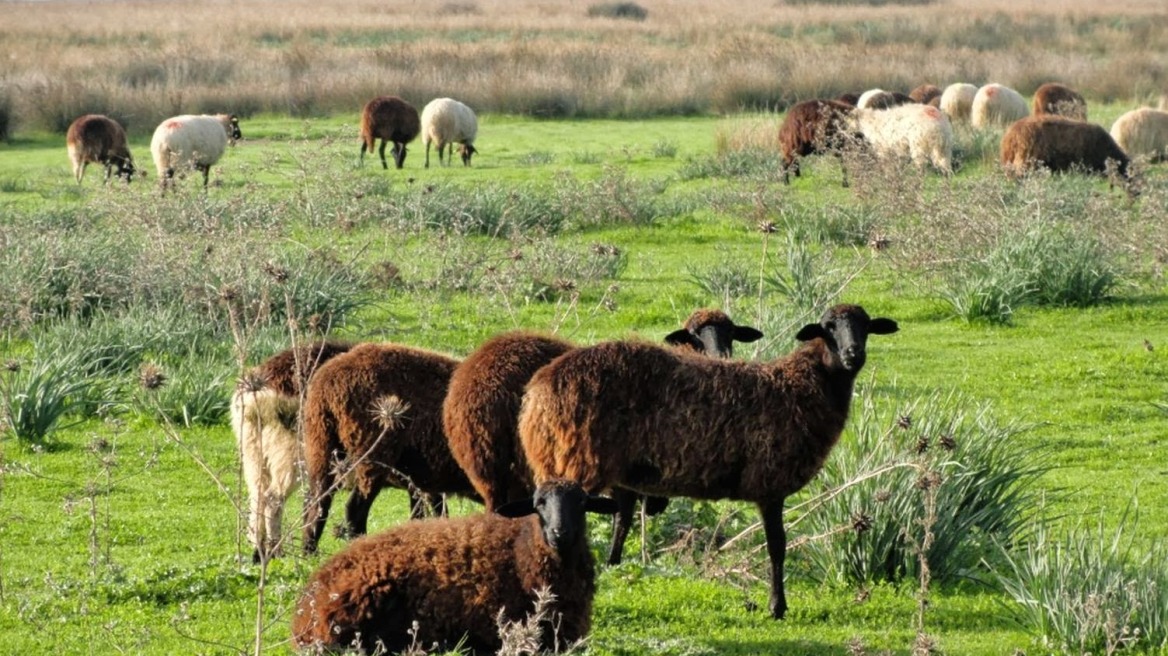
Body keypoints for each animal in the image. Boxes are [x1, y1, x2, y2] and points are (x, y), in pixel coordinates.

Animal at [228, 338, 352, 560]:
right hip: (293, 451)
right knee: (273, 498)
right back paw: (276, 550)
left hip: (252, 449)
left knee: (258, 496)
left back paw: (259, 550)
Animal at [303, 343, 481, 550]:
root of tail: (326, 384)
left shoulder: (421, 481)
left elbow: (425, 513)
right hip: (371, 455)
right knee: (354, 509)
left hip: (320, 447)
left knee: (315, 504)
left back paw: (308, 551)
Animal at [516, 303, 897, 616]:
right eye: (829, 327)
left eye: (866, 326)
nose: (853, 354)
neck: (802, 386)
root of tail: (537, 392)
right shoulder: (770, 483)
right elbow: (777, 547)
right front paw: (777, 607)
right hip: (574, 464)